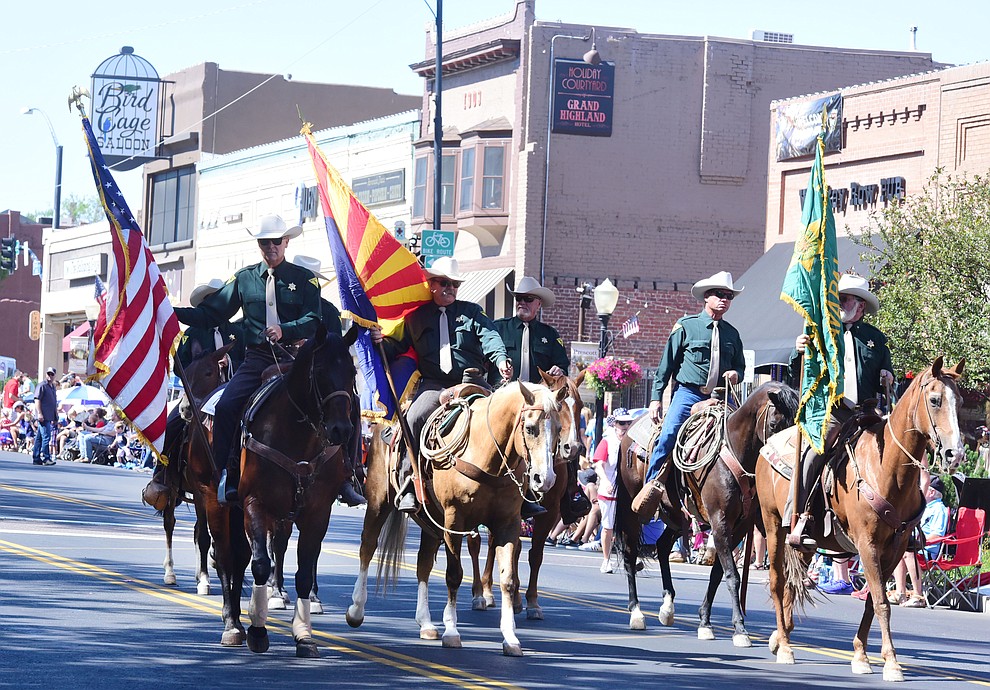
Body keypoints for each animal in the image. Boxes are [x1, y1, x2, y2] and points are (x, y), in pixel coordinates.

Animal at [237, 322, 360, 656]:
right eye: (320, 371)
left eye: (352, 372)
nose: (341, 430)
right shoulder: (254, 503)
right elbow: (260, 563)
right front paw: (257, 628)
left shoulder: (317, 513)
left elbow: (305, 571)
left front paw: (304, 634)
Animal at [348, 378, 564, 652]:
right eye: (530, 428)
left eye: (559, 428)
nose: (544, 479)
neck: (486, 453)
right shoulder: (455, 519)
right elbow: (454, 575)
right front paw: (451, 631)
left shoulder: (508, 524)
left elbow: (508, 579)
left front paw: (510, 637)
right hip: (379, 499)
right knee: (367, 546)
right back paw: (356, 609)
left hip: (431, 520)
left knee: (423, 563)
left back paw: (426, 623)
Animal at [466, 370, 584, 620]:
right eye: (561, 407)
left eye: (579, 405)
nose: (572, 448)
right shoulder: (515, 513)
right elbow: (514, 550)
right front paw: (516, 599)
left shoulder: (548, 512)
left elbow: (535, 554)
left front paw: (531, 602)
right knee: (479, 544)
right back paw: (482, 593)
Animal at [616, 378, 804, 644]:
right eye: (774, 424)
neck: (735, 455)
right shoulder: (720, 521)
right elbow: (733, 575)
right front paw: (739, 629)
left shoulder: (738, 527)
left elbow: (718, 573)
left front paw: (705, 621)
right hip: (631, 511)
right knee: (631, 555)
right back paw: (636, 613)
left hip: (677, 516)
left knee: (662, 546)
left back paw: (667, 607)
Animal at [764, 358, 964, 680]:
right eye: (935, 400)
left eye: (959, 401)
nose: (954, 454)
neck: (888, 469)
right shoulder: (867, 544)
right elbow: (882, 601)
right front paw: (892, 663)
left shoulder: (893, 550)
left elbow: (874, 600)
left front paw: (861, 654)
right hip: (772, 528)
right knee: (777, 581)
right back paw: (784, 645)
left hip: (804, 541)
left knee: (792, 583)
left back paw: (780, 637)